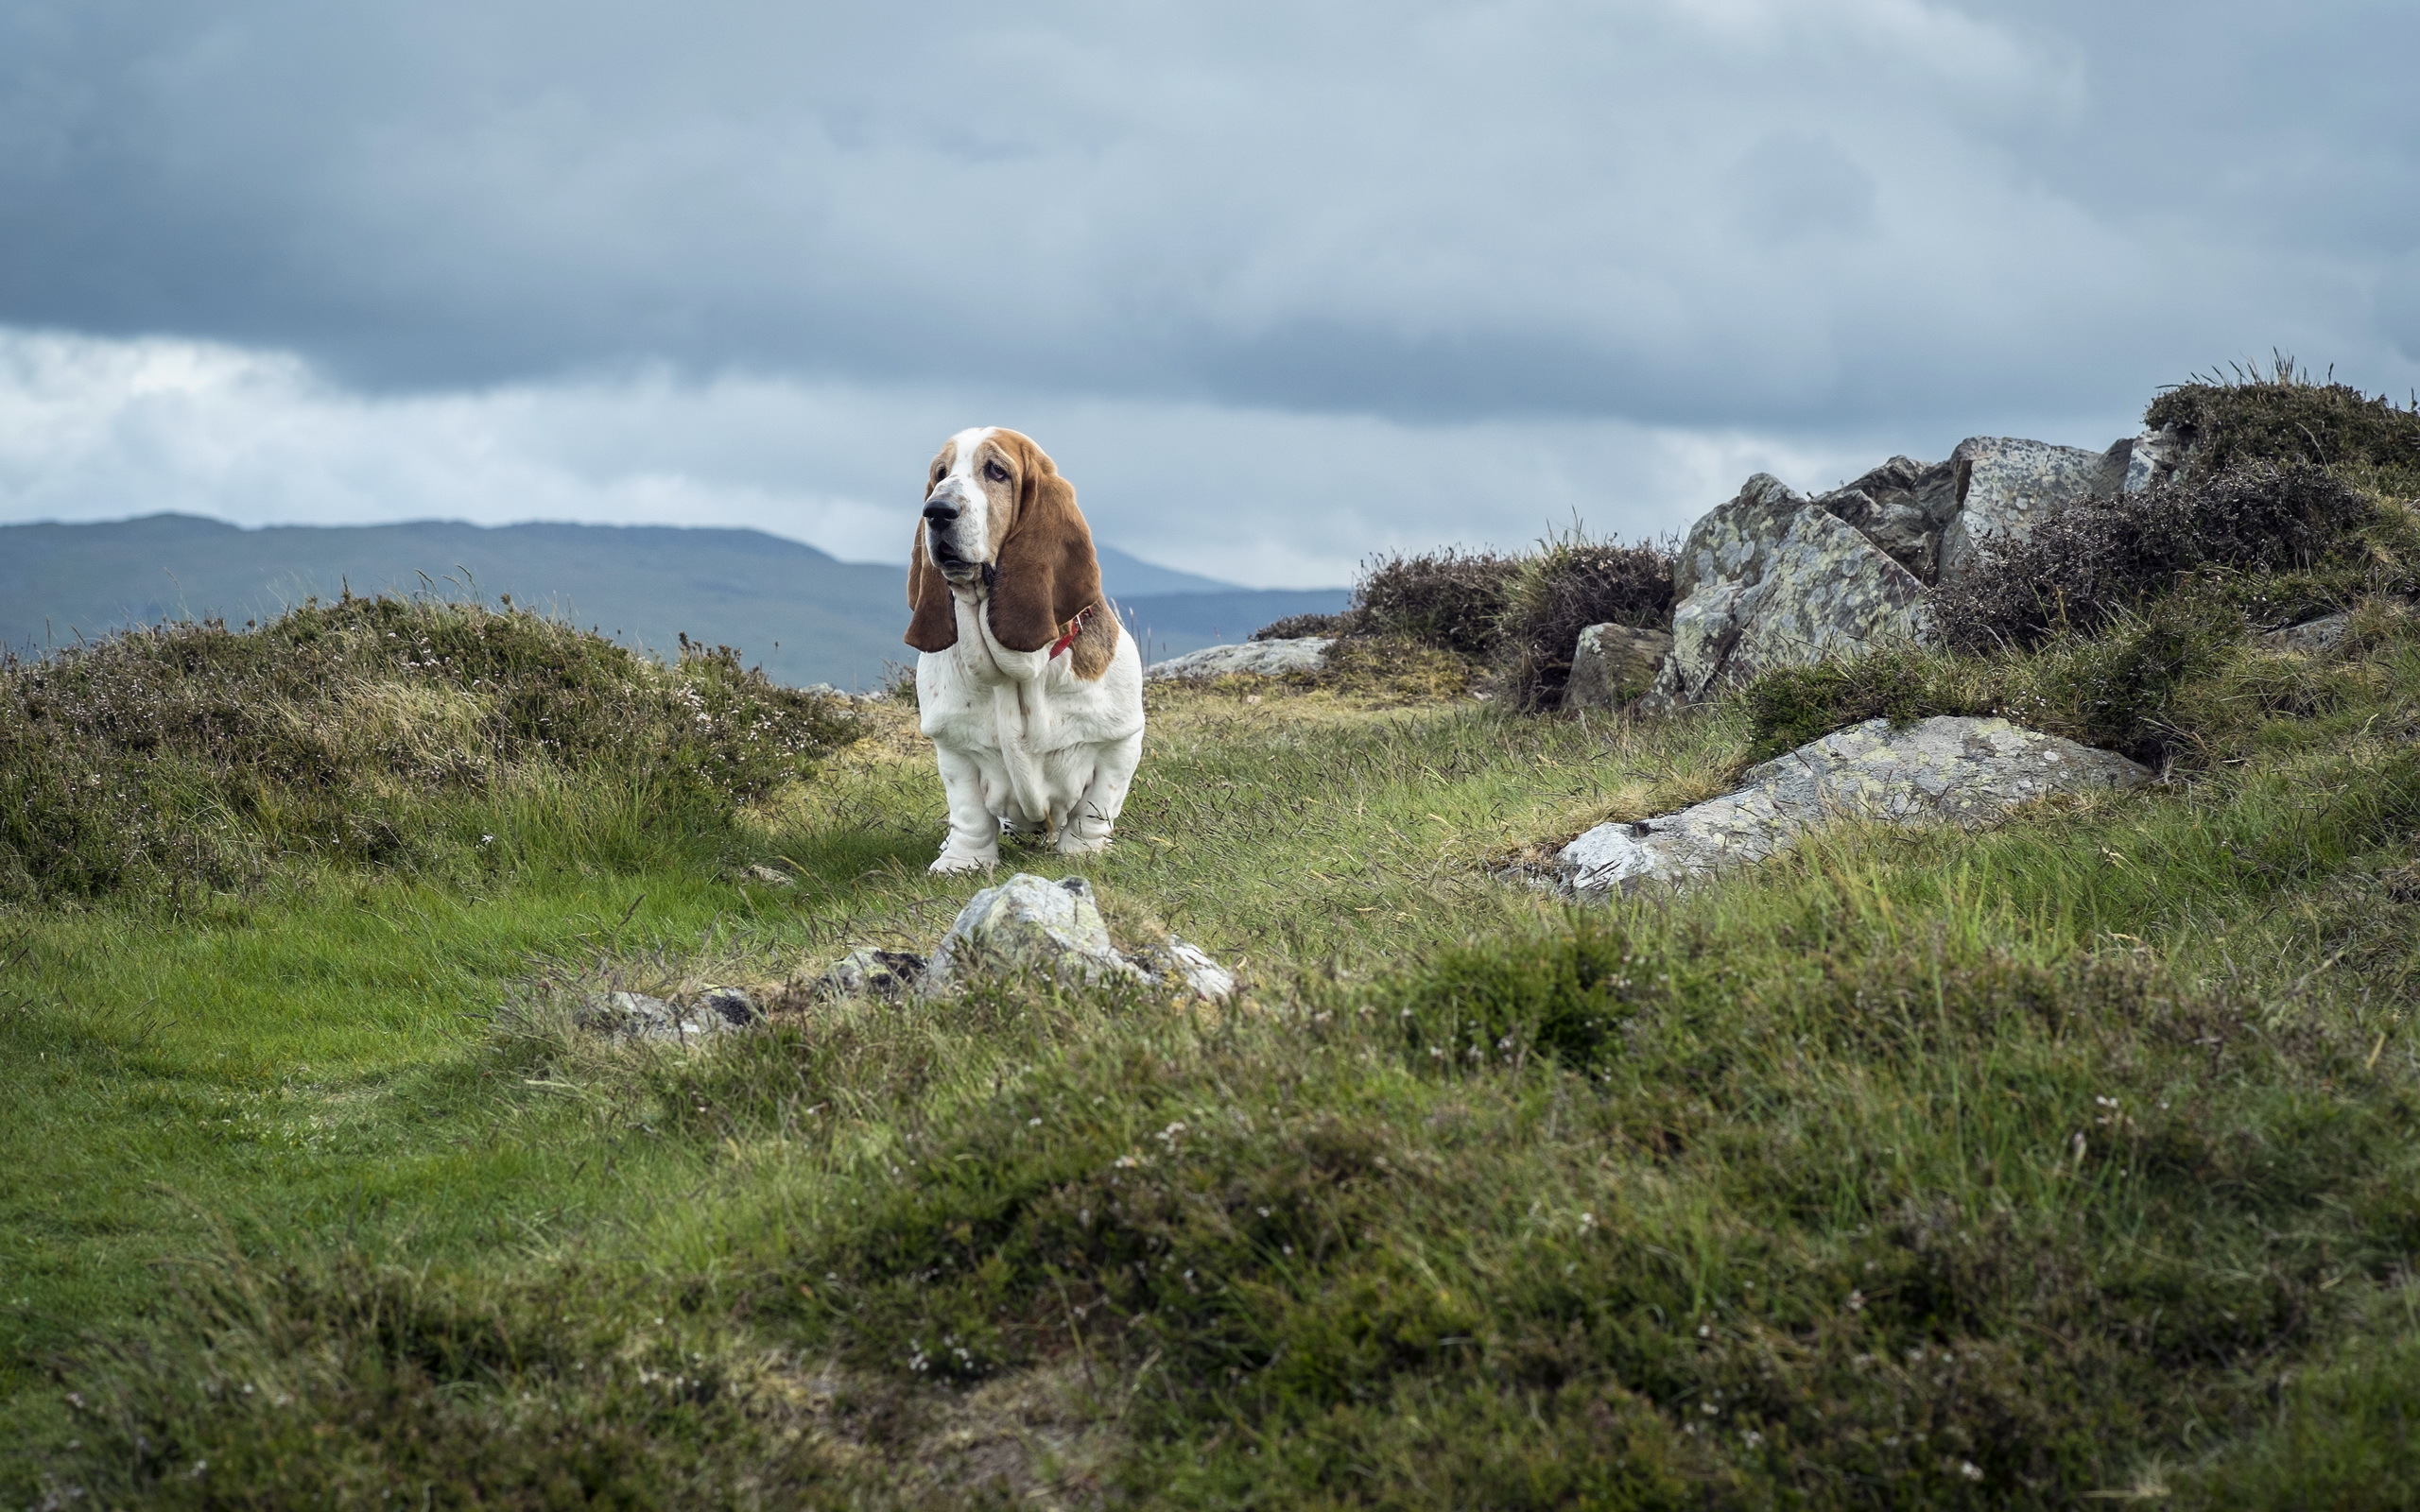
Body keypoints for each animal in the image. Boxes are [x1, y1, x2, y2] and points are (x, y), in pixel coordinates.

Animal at [909, 425, 1142, 870]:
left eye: (996, 471)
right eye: (941, 473)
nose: (937, 510)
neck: (1016, 673)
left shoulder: (1119, 743)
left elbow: (1095, 808)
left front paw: (1080, 854)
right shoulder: (953, 747)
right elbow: (968, 811)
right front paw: (961, 862)